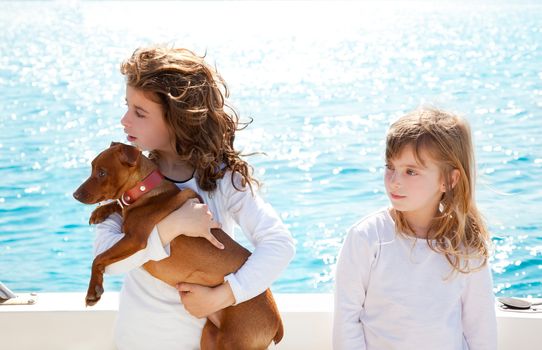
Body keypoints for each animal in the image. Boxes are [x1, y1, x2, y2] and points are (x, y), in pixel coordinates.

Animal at [74, 142, 284, 348]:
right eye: (92, 168)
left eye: (102, 173)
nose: (75, 194)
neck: (144, 191)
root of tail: (278, 324)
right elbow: (118, 206)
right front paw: (100, 212)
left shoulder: (135, 239)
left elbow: (98, 258)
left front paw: (93, 291)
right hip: (210, 336)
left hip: (232, 341)